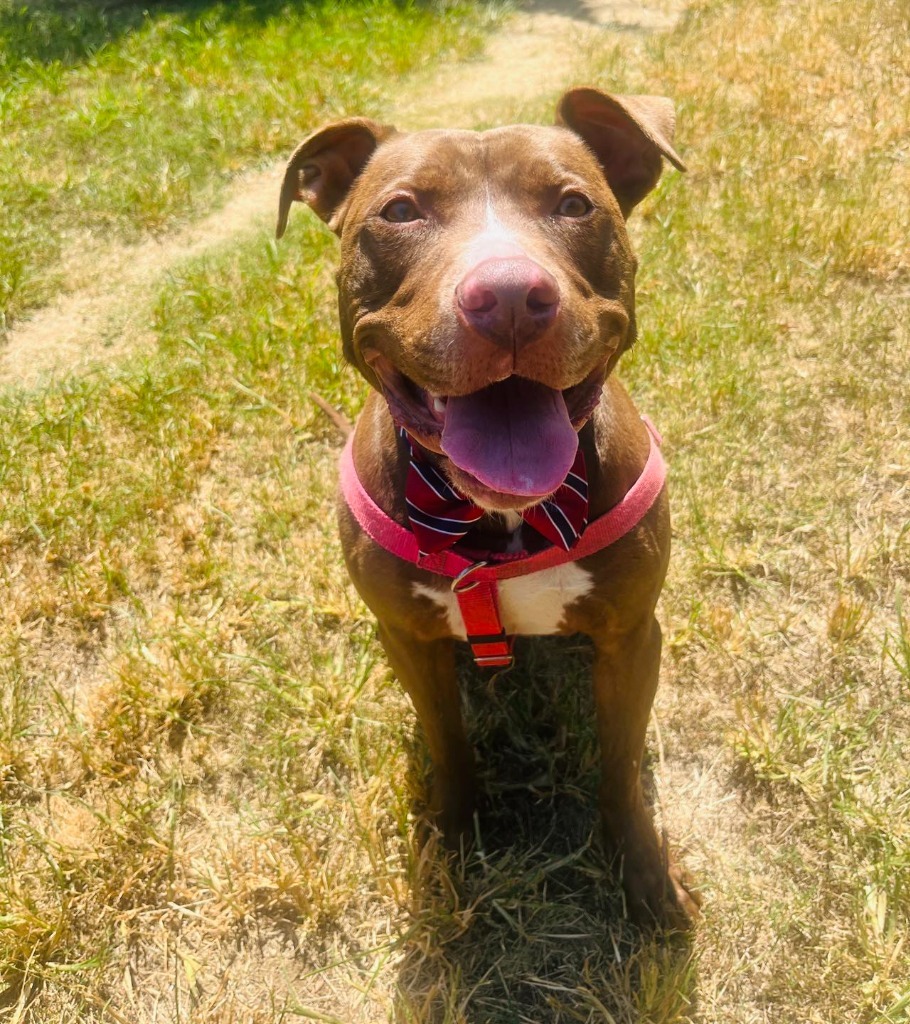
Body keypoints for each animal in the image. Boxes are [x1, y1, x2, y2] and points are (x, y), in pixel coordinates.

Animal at [276, 88, 696, 929]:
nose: (506, 296)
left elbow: (620, 763)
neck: (496, 521)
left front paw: (643, 871)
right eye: (400, 210)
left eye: (574, 203)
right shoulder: (409, 641)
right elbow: (448, 743)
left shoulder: (632, 638)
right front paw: (449, 836)